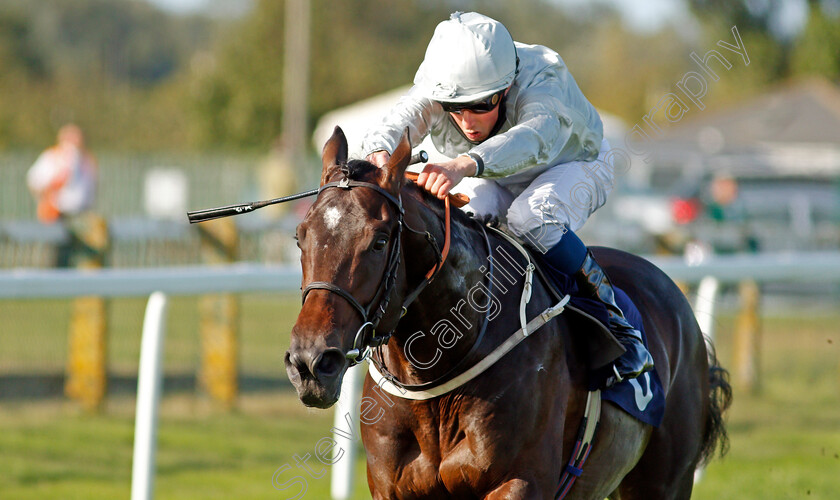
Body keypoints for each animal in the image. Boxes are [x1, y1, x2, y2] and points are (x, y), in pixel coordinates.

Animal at [286, 127, 732, 498]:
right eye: (301, 235)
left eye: (379, 241)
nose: (311, 361)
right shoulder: (390, 487)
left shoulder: (518, 481)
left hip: (665, 481)